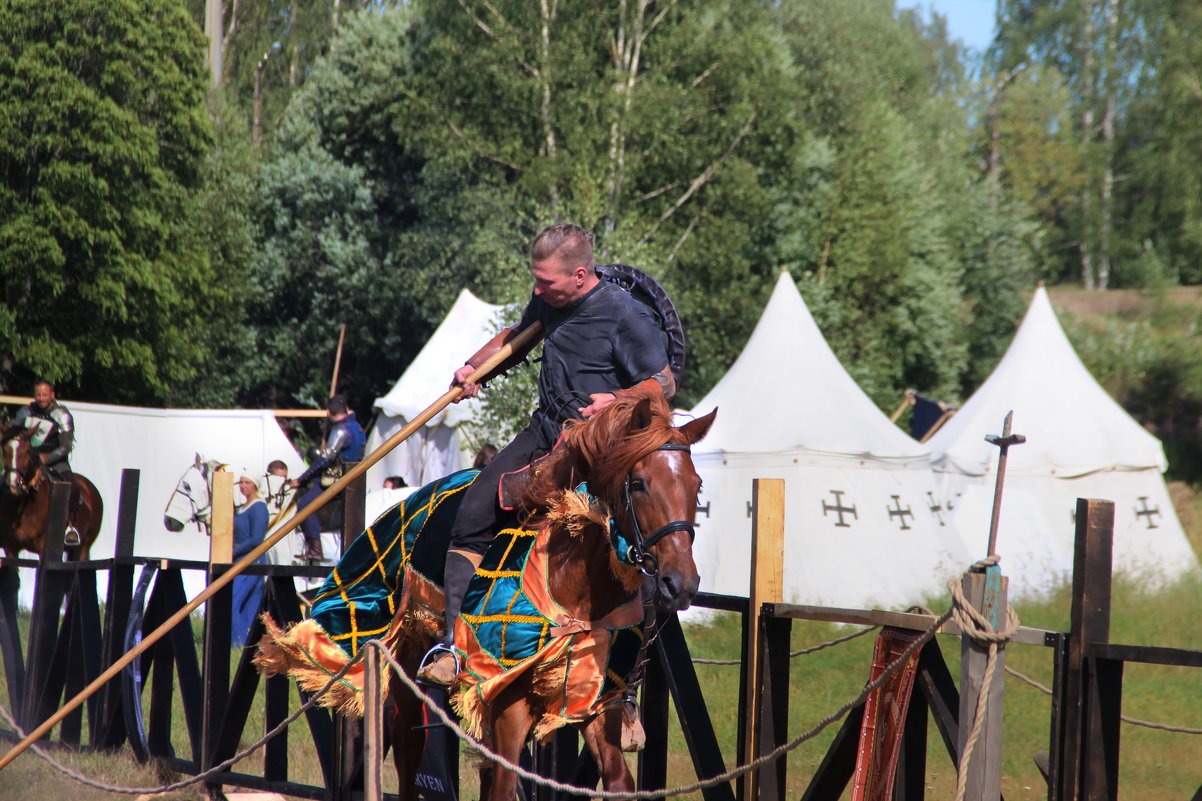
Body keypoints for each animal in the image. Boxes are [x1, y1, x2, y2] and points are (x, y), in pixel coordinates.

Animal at [389, 392, 716, 798]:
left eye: (696, 484)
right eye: (639, 483)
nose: (680, 582)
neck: (575, 584)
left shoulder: (595, 700)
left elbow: (618, 780)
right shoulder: (509, 703)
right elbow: (505, 781)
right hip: (410, 653)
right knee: (407, 746)